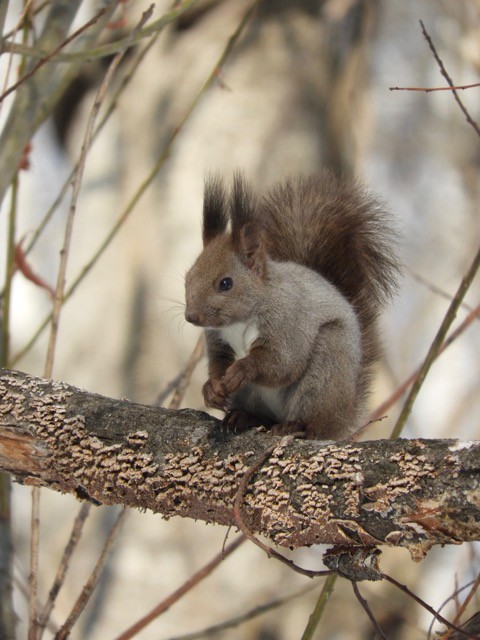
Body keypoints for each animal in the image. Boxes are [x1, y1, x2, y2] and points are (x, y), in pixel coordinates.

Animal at [183, 171, 398, 440]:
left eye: (225, 283)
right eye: (187, 277)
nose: (191, 317)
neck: (240, 320)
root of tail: (344, 417)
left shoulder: (287, 321)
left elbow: (282, 363)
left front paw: (242, 369)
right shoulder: (217, 338)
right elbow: (218, 360)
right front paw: (211, 388)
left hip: (324, 372)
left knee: (314, 423)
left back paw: (296, 426)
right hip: (252, 396)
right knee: (265, 417)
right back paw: (244, 416)